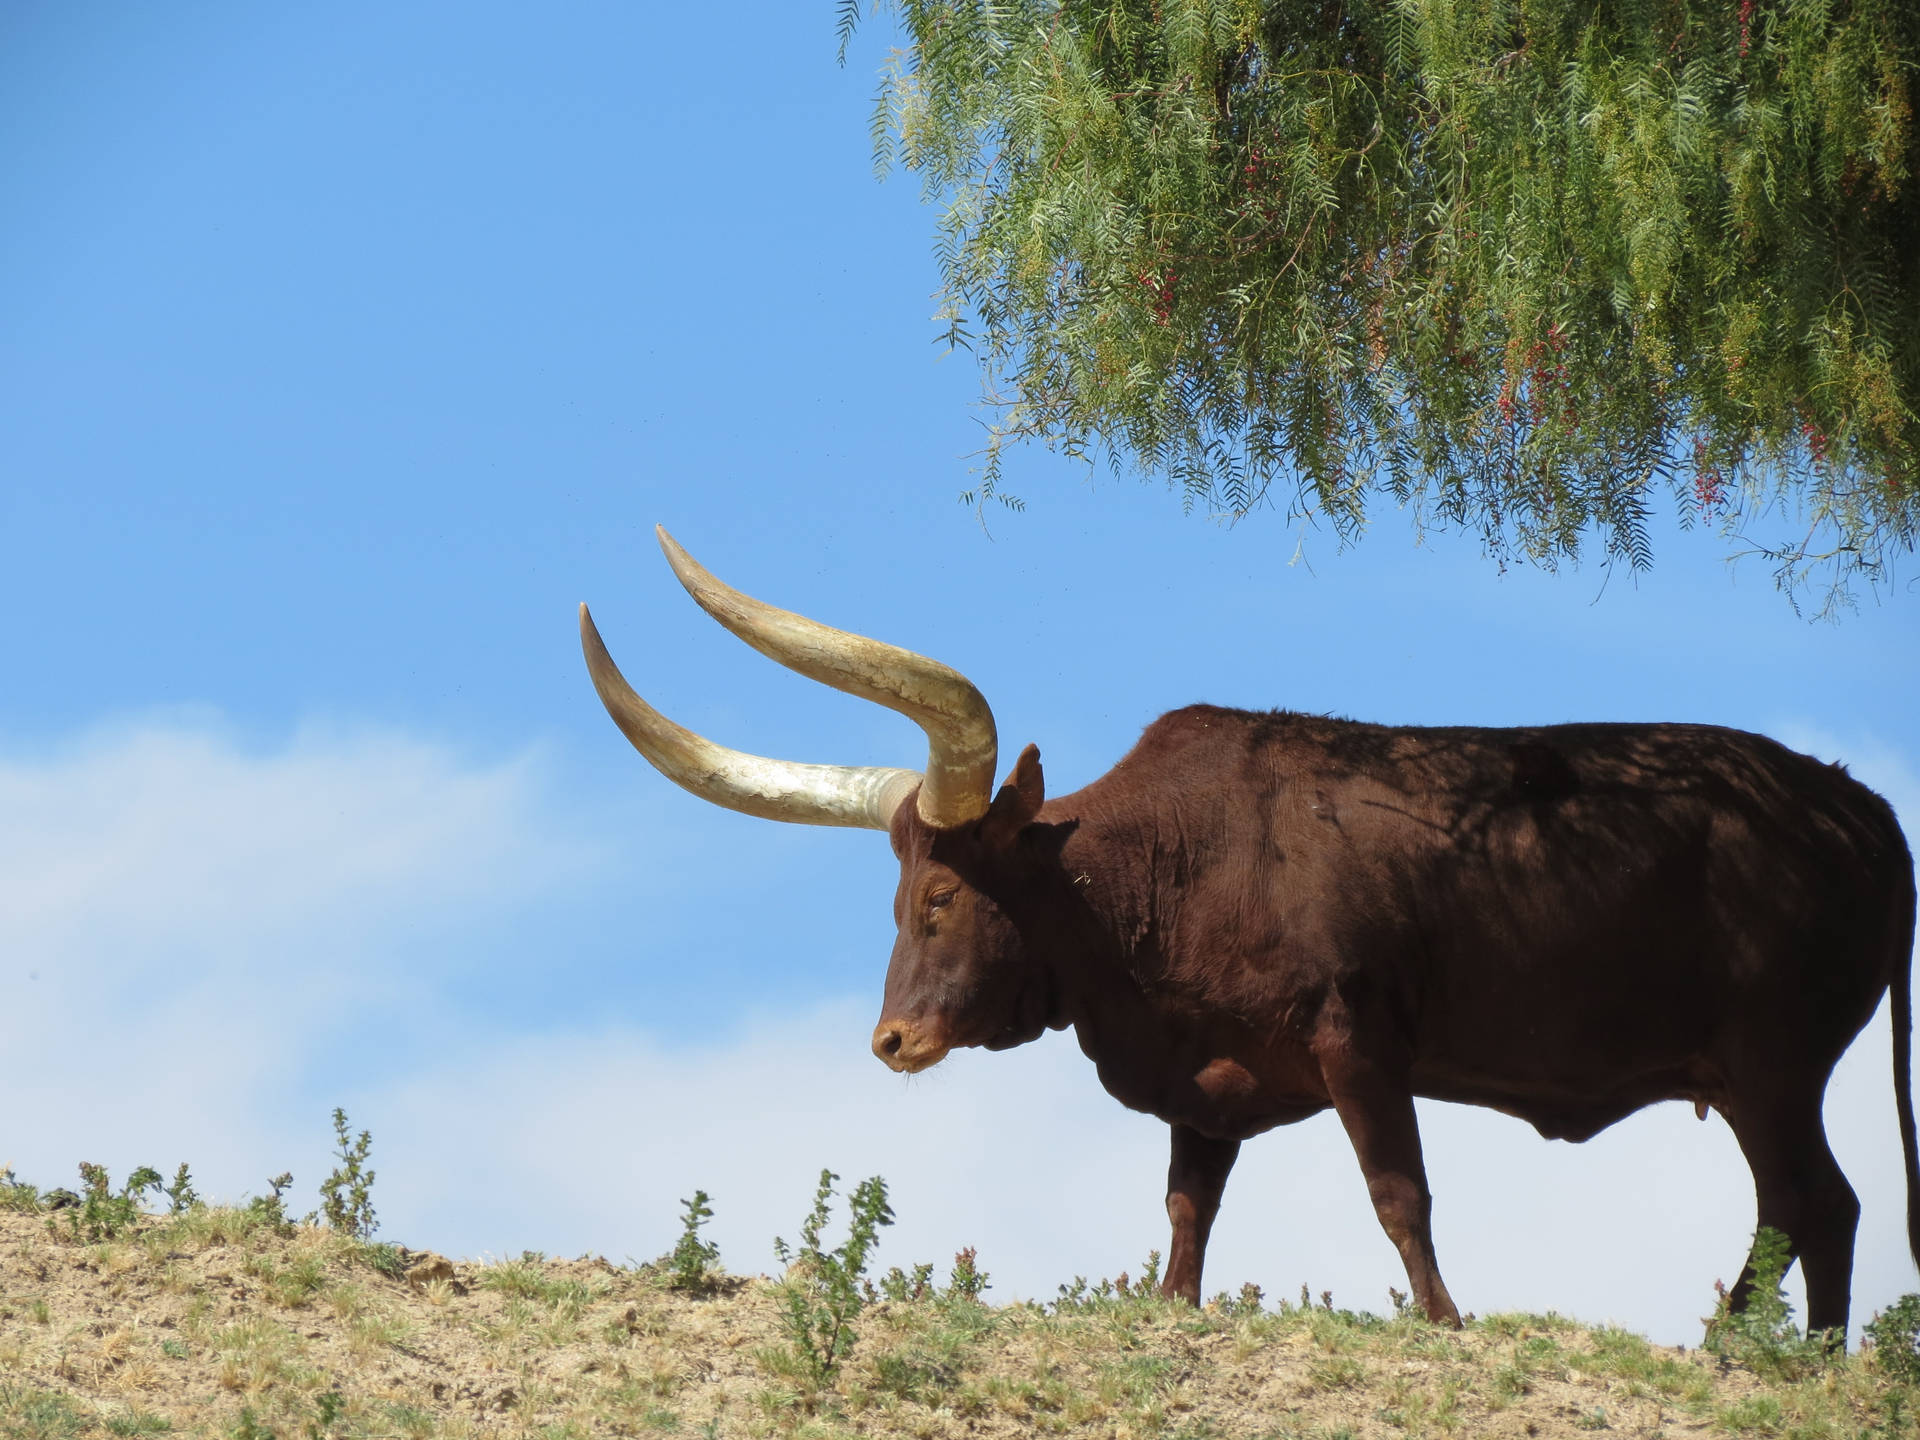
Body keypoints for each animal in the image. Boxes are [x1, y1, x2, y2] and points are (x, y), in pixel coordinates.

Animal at [583, 533, 1920, 1344]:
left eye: (943, 901)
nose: (892, 1039)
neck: (1162, 864)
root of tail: (1859, 808)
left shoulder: (1358, 1042)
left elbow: (1399, 1195)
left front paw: (1442, 1323)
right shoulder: (1207, 1083)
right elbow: (1187, 1211)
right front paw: (1174, 1313)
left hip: (1773, 1067)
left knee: (1819, 1205)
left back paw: (1775, 1358)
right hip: (1753, 1076)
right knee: (1803, 1211)